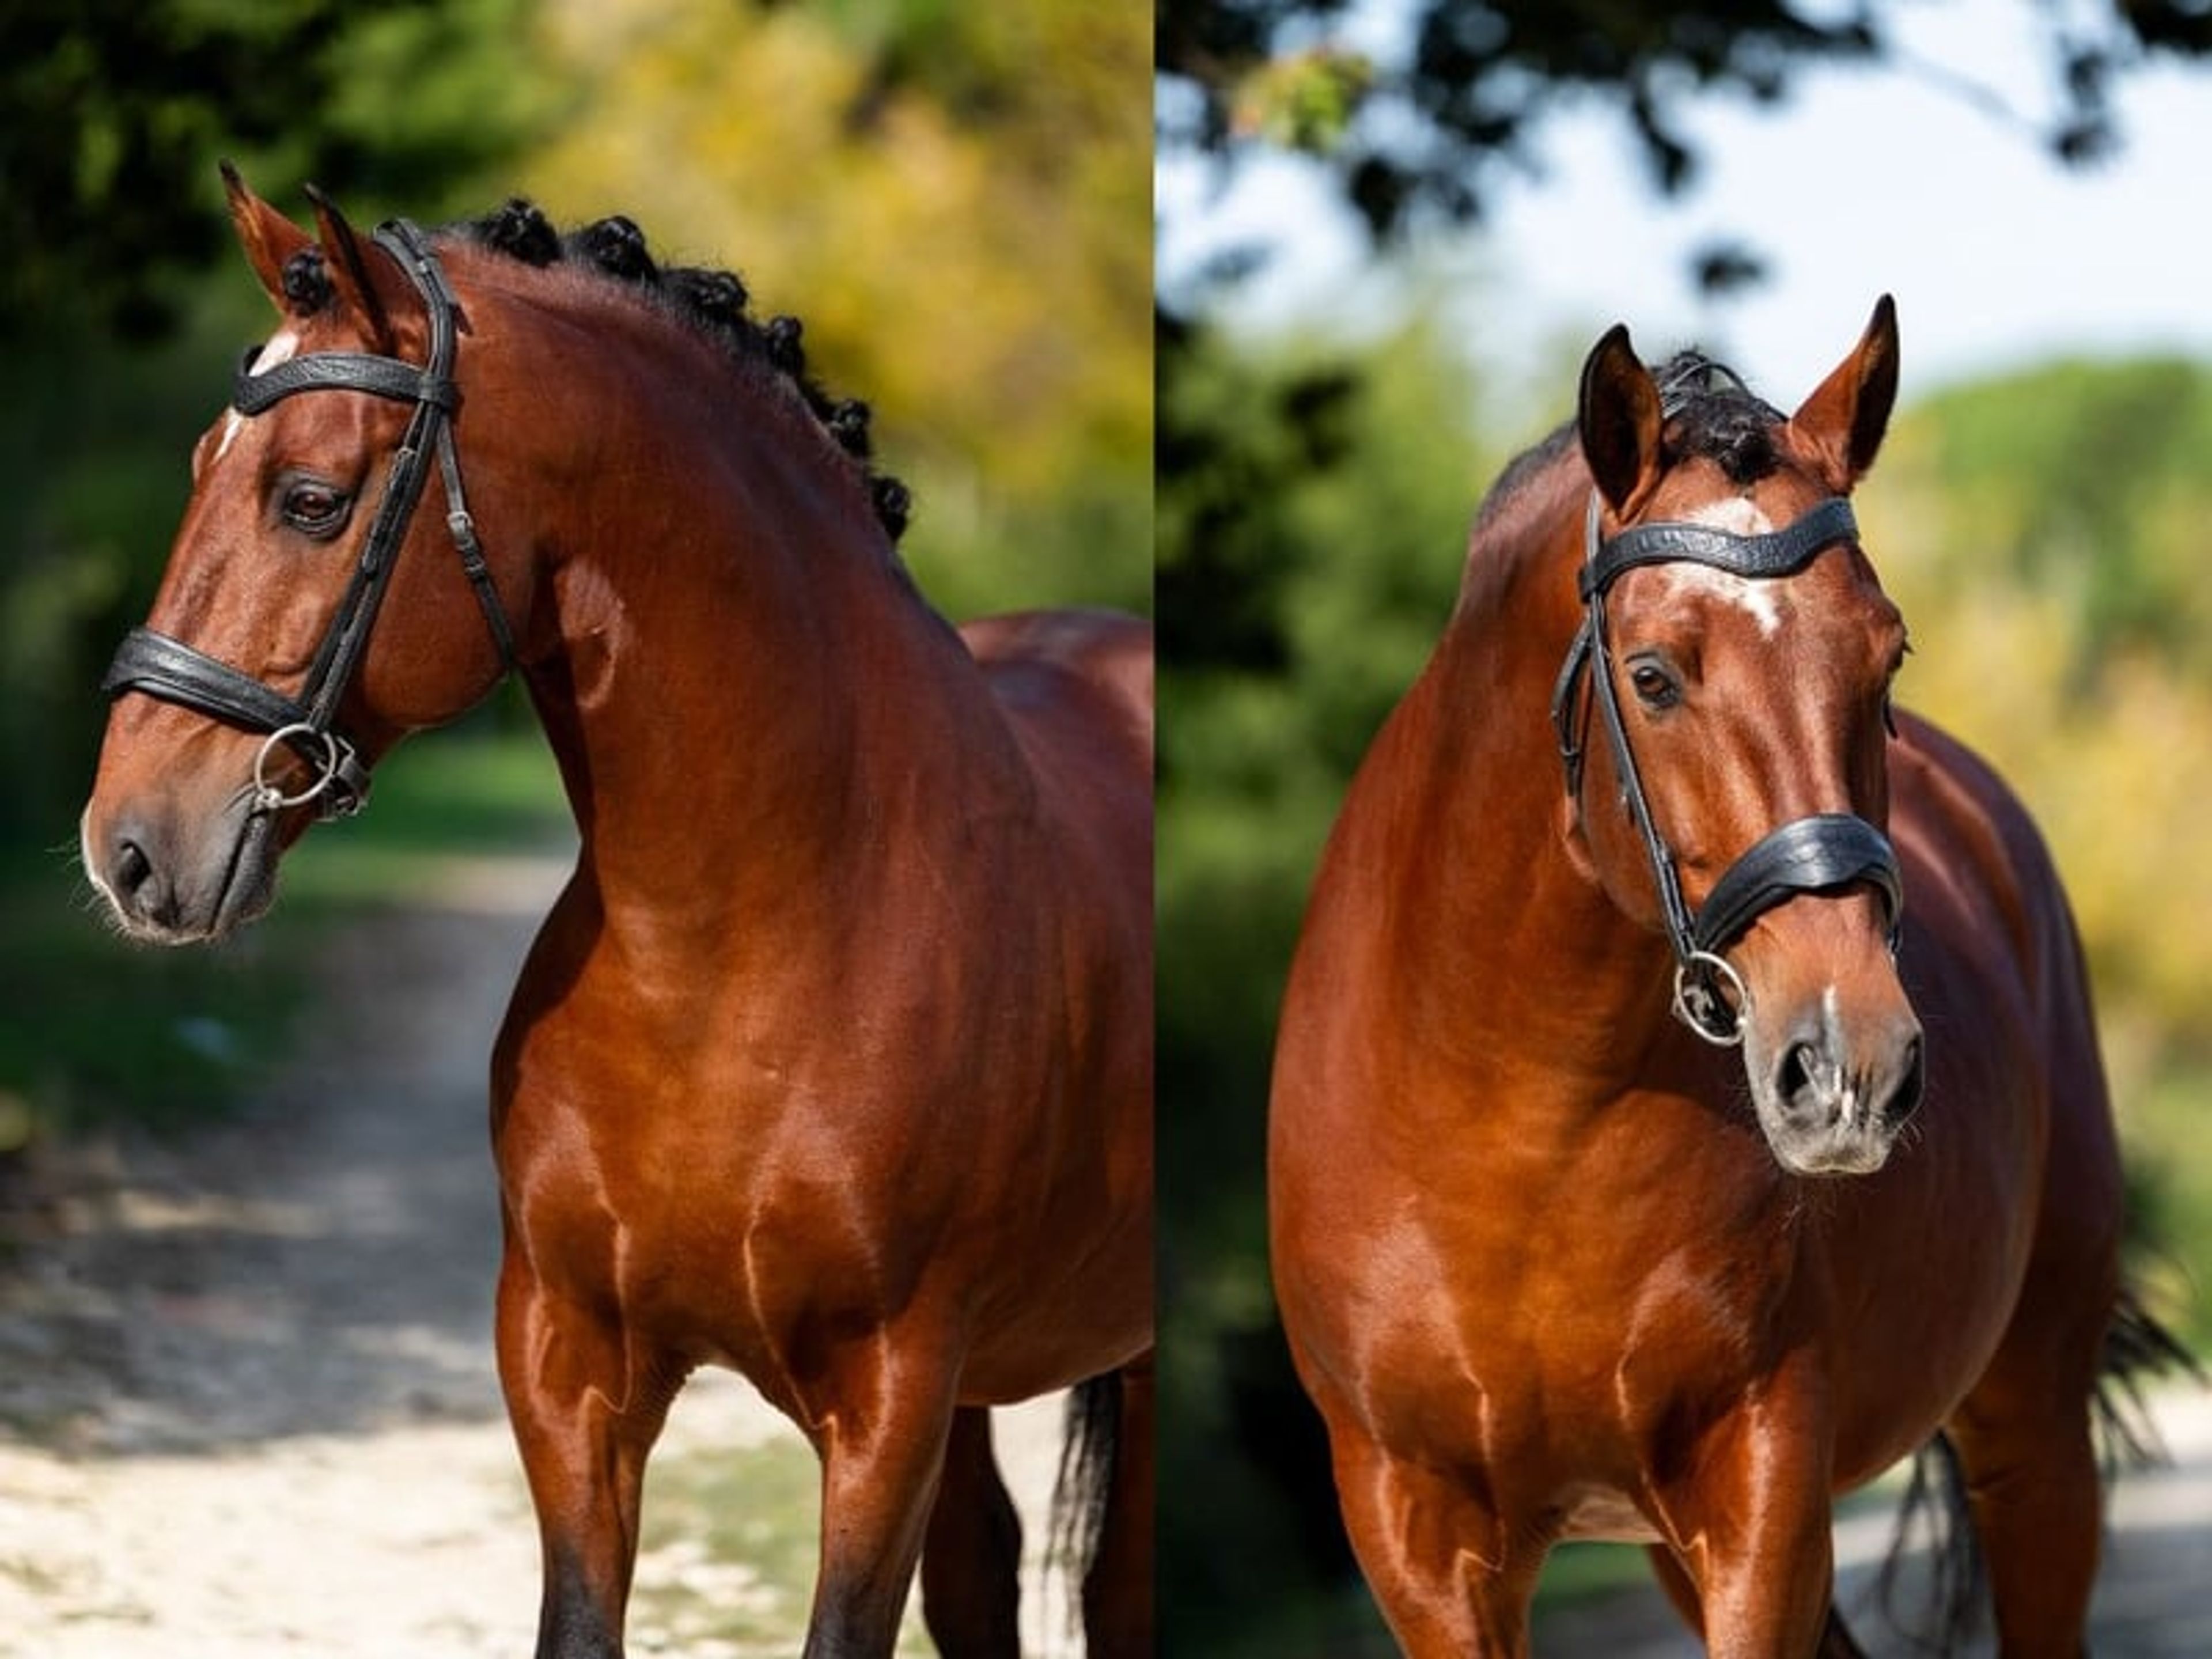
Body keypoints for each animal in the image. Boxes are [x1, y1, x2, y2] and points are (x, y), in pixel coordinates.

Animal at [79, 170, 1153, 1659]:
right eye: (199, 470)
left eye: (309, 499)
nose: (127, 847)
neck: (741, 942)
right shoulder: (566, 1369)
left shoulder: (888, 1409)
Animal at [1269, 298, 2187, 1656]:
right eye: (1652, 675)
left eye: (1887, 658)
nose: (1853, 1066)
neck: (1518, 1126)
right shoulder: (1417, 1539)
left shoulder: (1761, 1498)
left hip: (2033, 1433)